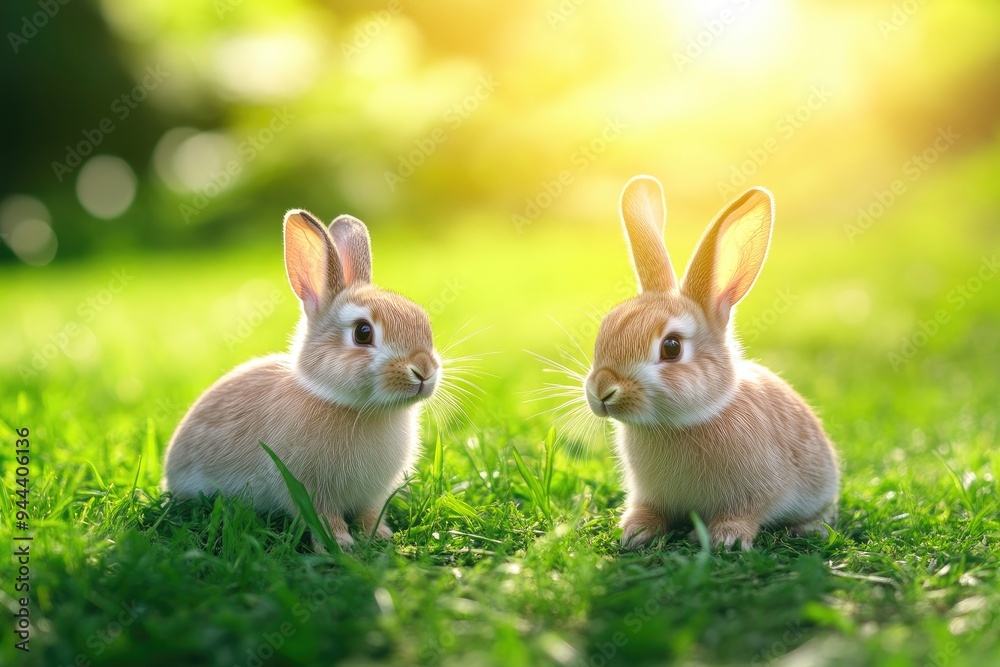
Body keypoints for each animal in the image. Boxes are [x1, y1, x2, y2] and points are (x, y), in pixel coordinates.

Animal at [163, 209, 441, 550]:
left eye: (423, 321)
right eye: (363, 332)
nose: (424, 370)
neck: (352, 407)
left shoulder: (372, 496)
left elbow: (370, 514)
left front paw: (380, 536)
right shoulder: (312, 490)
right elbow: (325, 519)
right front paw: (340, 545)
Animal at [584, 175, 839, 551]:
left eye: (671, 347)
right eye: (605, 329)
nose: (602, 390)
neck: (677, 425)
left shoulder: (757, 492)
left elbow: (745, 514)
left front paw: (725, 540)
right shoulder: (650, 494)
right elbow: (649, 509)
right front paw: (635, 532)